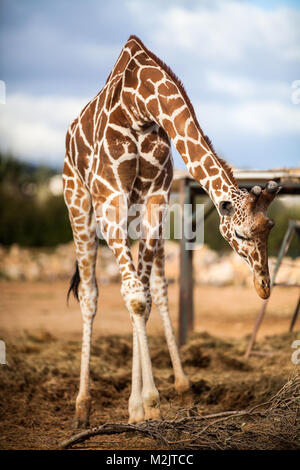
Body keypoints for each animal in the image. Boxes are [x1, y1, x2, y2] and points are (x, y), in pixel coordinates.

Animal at [62, 35, 280, 428]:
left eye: (269, 228)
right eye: (241, 235)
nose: (263, 287)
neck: (141, 103)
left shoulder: (155, 197)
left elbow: (145, 295)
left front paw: (141, 407)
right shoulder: (109, 196)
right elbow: (134, 295)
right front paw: (149, 401)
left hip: (136, 214)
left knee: (153, 286)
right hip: (78, 201)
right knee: (90, 293)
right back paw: (82, 407)